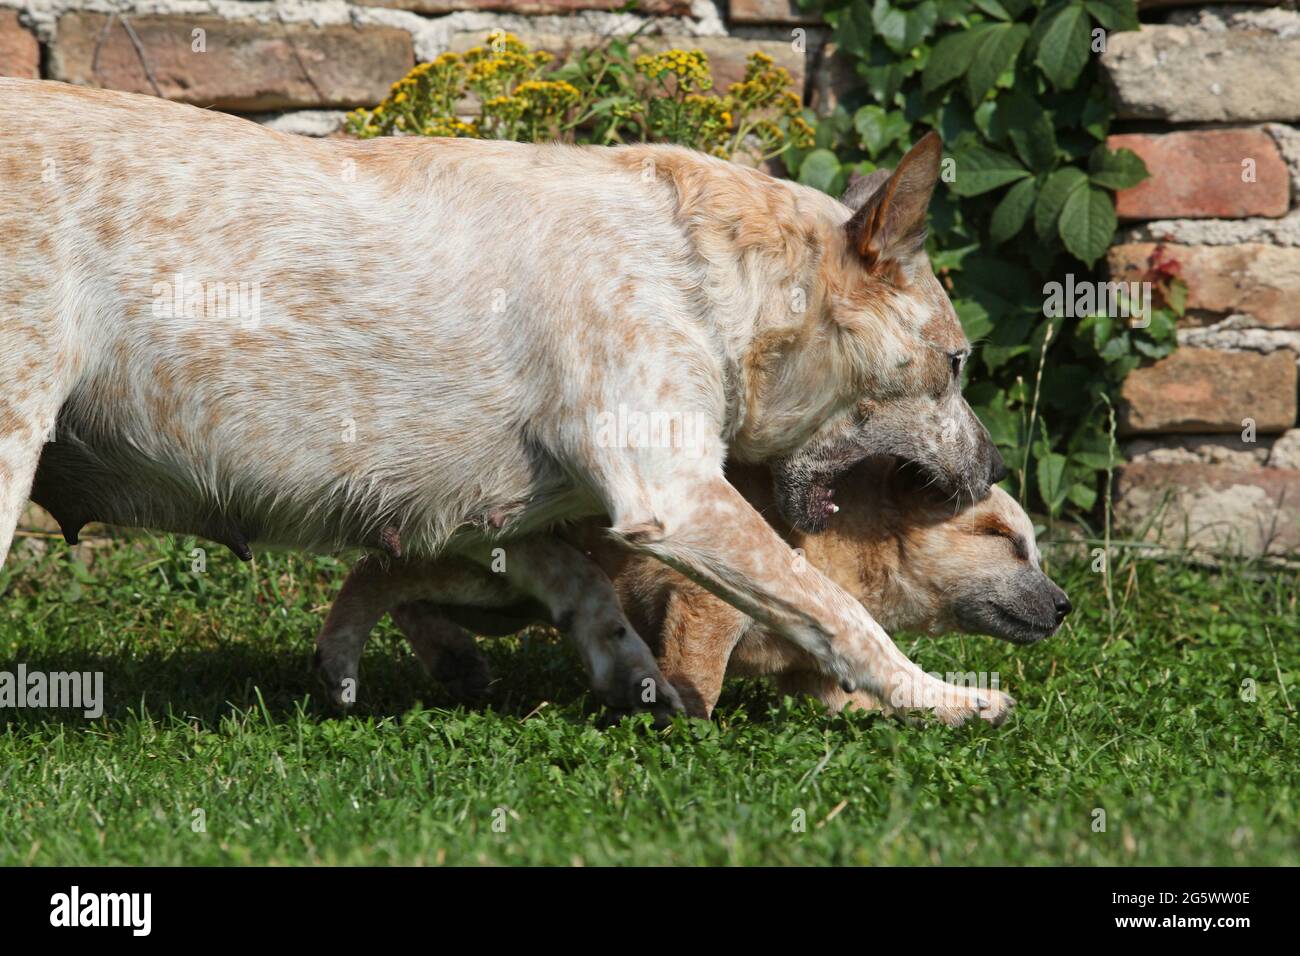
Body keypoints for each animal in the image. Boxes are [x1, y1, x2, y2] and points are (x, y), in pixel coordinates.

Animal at [5, 80, 1003, 723]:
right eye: (957, 365)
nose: (994, 464)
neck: (710, 273)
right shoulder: (673, 491)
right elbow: (834, 611)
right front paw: (944, 699)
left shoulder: (505, 516)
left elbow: (586, 595)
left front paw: (641, 687)